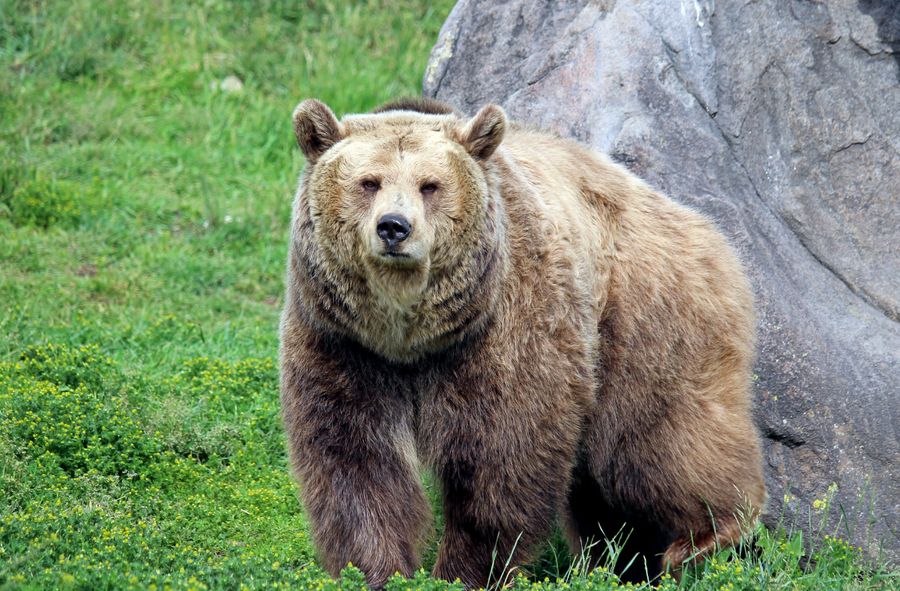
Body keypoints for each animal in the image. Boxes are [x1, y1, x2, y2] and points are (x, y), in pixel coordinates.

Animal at [282, 96, 768, 588]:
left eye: (430, 185)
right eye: (369, 182)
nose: (393, 227)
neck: (410, 338)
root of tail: (702, 225)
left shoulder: (505, 329)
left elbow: (503, 454)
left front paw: (467, 570)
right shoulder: (343, 344)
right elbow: (355, 462)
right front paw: (375, 569)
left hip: (643, 317)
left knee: (655, 442)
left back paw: (706, 536)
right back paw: (621, 561)